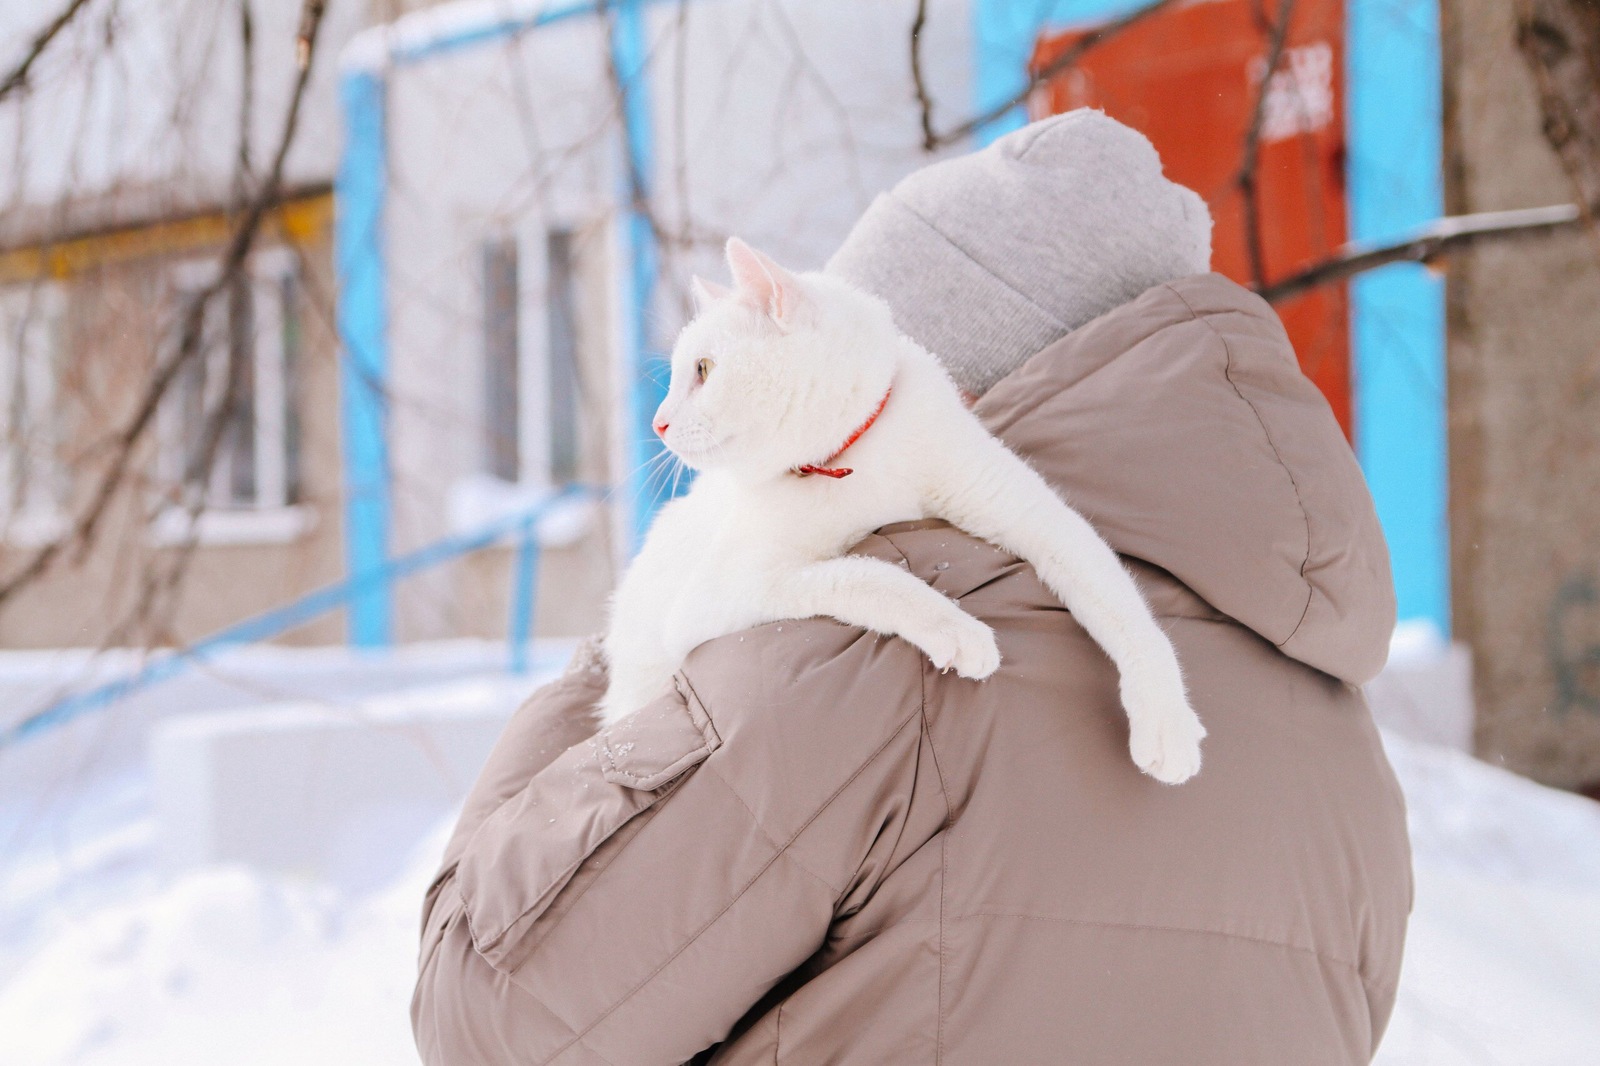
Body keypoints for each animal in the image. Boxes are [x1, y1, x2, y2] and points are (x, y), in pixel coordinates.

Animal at [604, 238, 1203, 781]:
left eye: (703, 369)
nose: (657, 422)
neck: (855, 457)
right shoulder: (718, 594)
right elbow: (864, 574)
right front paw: (955, 629)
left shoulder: (1029, 511)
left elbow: (1118, 600)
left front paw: (1166, 718)